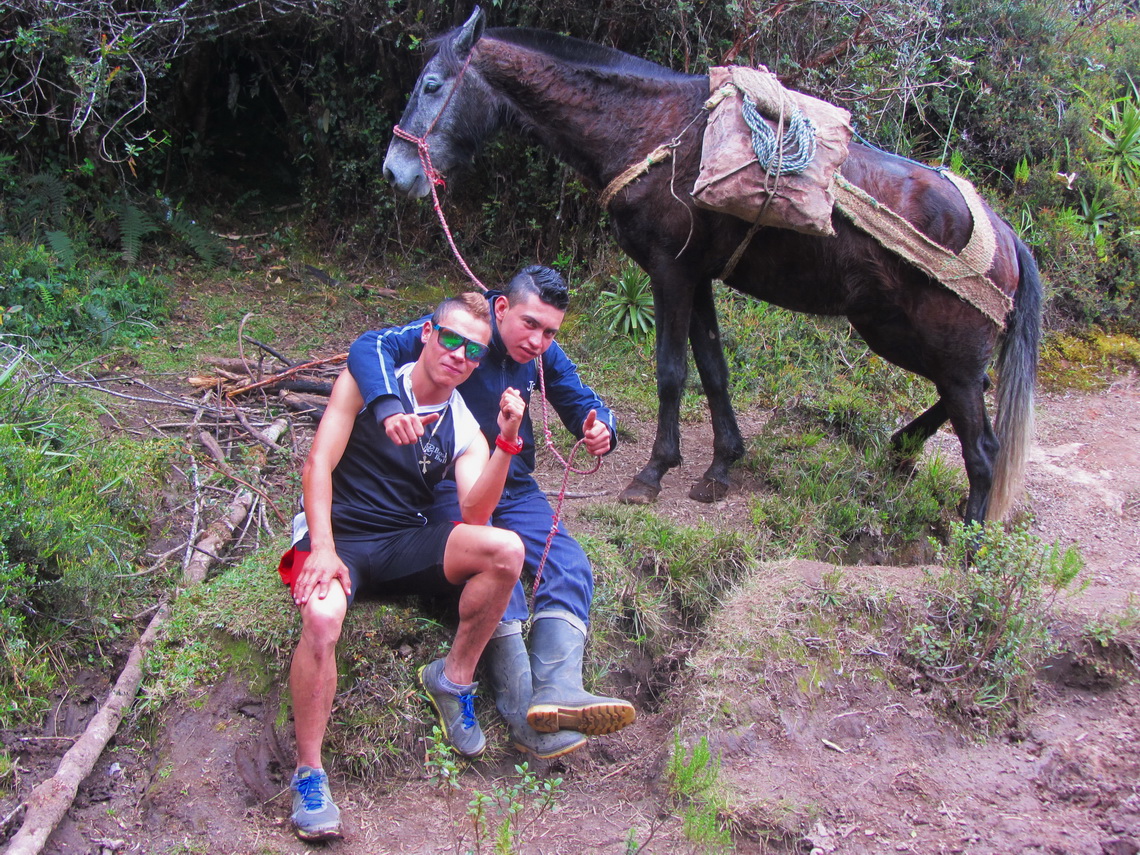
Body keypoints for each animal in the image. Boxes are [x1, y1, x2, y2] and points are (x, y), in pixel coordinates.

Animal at [385, 10, 1044, 526]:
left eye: (432, 84)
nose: (395, 171)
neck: (651, 130)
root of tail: (1007, 235)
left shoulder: (669, 273)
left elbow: (672, 372)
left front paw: (654, 471)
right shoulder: (697, 276)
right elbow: (714, 369)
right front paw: (722, 464)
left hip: (927, 345)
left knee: (983, 446)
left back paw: (970, 542)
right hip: (900, 334)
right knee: (971, 401)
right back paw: (904, 447)